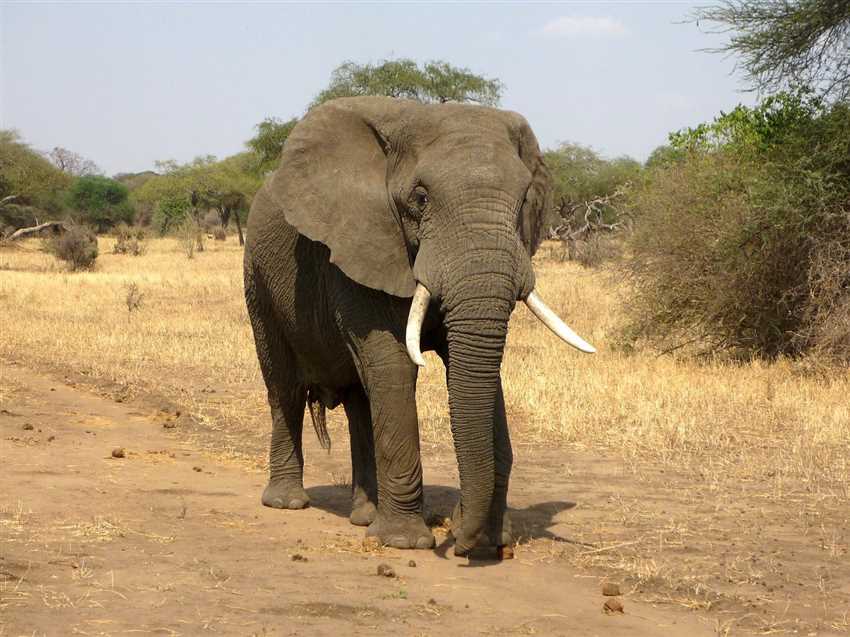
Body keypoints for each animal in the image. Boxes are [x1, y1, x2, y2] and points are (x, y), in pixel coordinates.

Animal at [242, 95, 592, 556]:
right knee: (284, 385)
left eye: (522, 202)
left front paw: (490, 540)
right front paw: (404, 543)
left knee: (360, 399)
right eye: (421, 198)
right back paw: (287, 503)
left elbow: (473, 368)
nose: (459, 539)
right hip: (257, 277)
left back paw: (364, 516)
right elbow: (395, 366)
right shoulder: (360, 245)